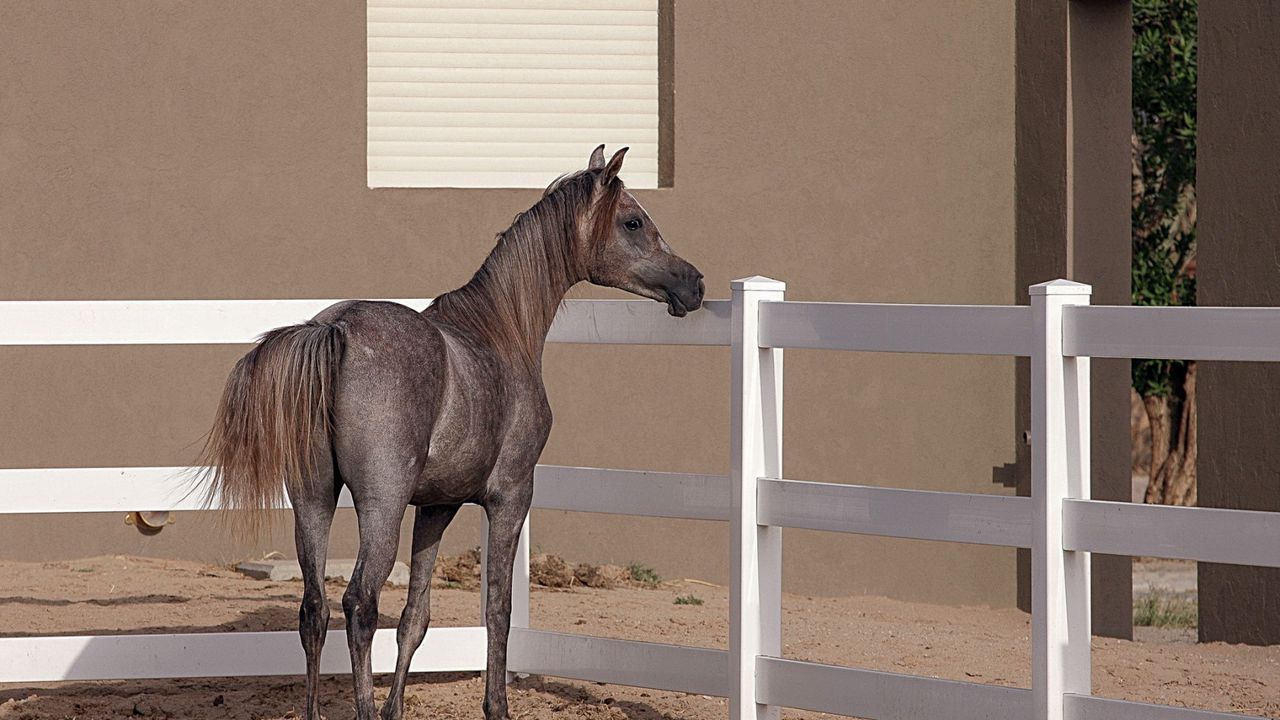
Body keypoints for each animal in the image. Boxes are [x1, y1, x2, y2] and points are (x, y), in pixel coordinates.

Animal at [194, 144, 706, 717]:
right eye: (633, 221)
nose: (694, 283)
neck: (500, 332)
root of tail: (336, 328)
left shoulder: (437, 507)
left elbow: (415, 620)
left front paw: (395, 708)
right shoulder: (510, 497)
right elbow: (498, 609)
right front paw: (496, 706)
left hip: (313, 500)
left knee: (314, 609)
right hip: (381, 505)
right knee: (359, 603)